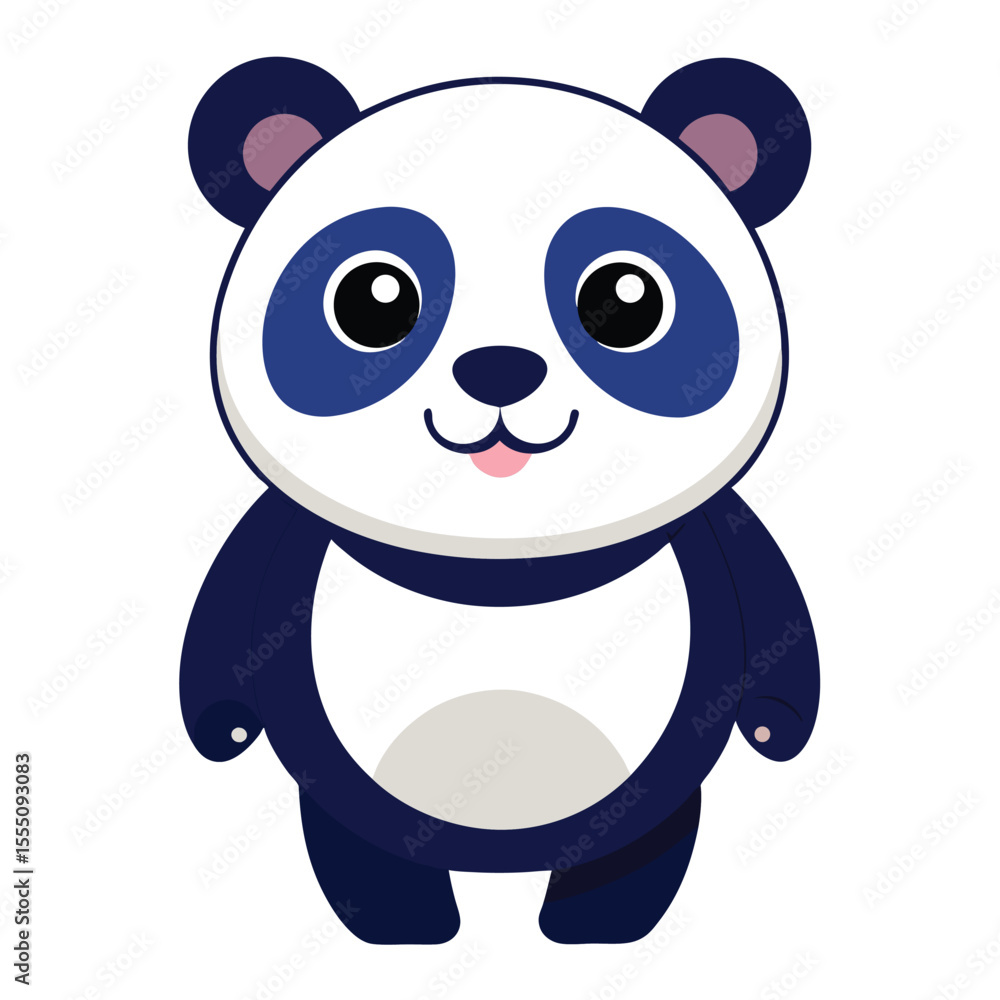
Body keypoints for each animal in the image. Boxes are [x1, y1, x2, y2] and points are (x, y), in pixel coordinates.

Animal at [181, 56, 820, 946]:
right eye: (372, 299)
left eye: (628, 299)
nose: (499, 370)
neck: (501, 562)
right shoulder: (276, 542)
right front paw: (220, 727)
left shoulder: (722, 541)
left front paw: (776, 726)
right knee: (364, 845)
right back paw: (404, 926)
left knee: (637, 843)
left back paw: (596, 926)